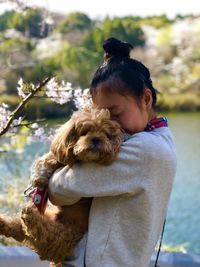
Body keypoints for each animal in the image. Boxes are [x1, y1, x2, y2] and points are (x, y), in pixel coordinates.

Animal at [0, 107, 123, 267]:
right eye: (85, 132)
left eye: (106, 134)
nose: (96, 139)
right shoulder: (61, 153)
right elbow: (51, 158)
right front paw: (39, 178)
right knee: (19, 229)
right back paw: (4, 223)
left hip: (61, 235)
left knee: (40, 232)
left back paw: (29, 215)